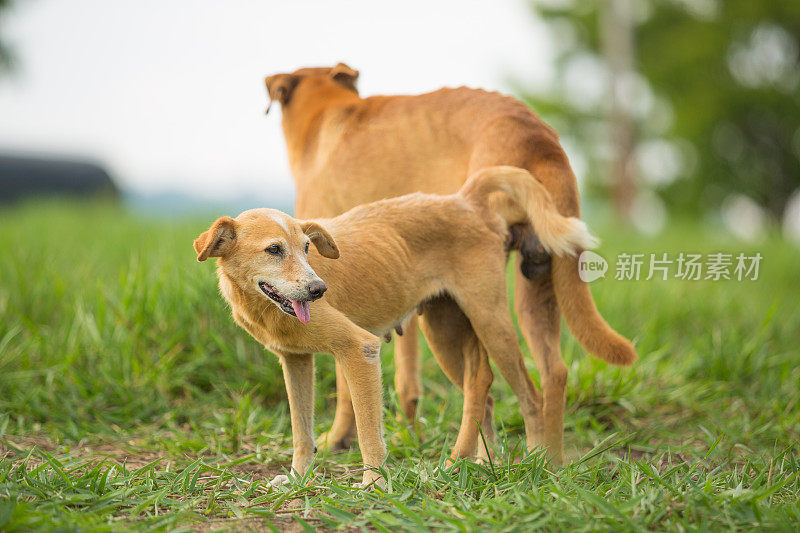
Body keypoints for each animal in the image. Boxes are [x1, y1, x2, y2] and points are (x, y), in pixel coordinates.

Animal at [192, 167, 592, 486]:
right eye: (274, 250)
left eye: (306, 248)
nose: (319, 290)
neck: (264, 307)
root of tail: (466, 200)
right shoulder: (296, 361)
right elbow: (302, 432)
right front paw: (297, 479)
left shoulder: (360, 350)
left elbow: (368, 432)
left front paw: (373, 485)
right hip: (444, 332)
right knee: (483, 387)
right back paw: (482, 463)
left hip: (490, 322)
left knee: (530, 395)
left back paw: (536, 462)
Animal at [268, 62, 636, 464]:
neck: (327, 111)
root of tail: (537, 135)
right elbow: (405, 378)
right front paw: (406, 433)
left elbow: (346, 382)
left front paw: (340, 438)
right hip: (531, 287)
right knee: (550, 372)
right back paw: (545, 462)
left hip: (476, 307)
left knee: (489, 380)